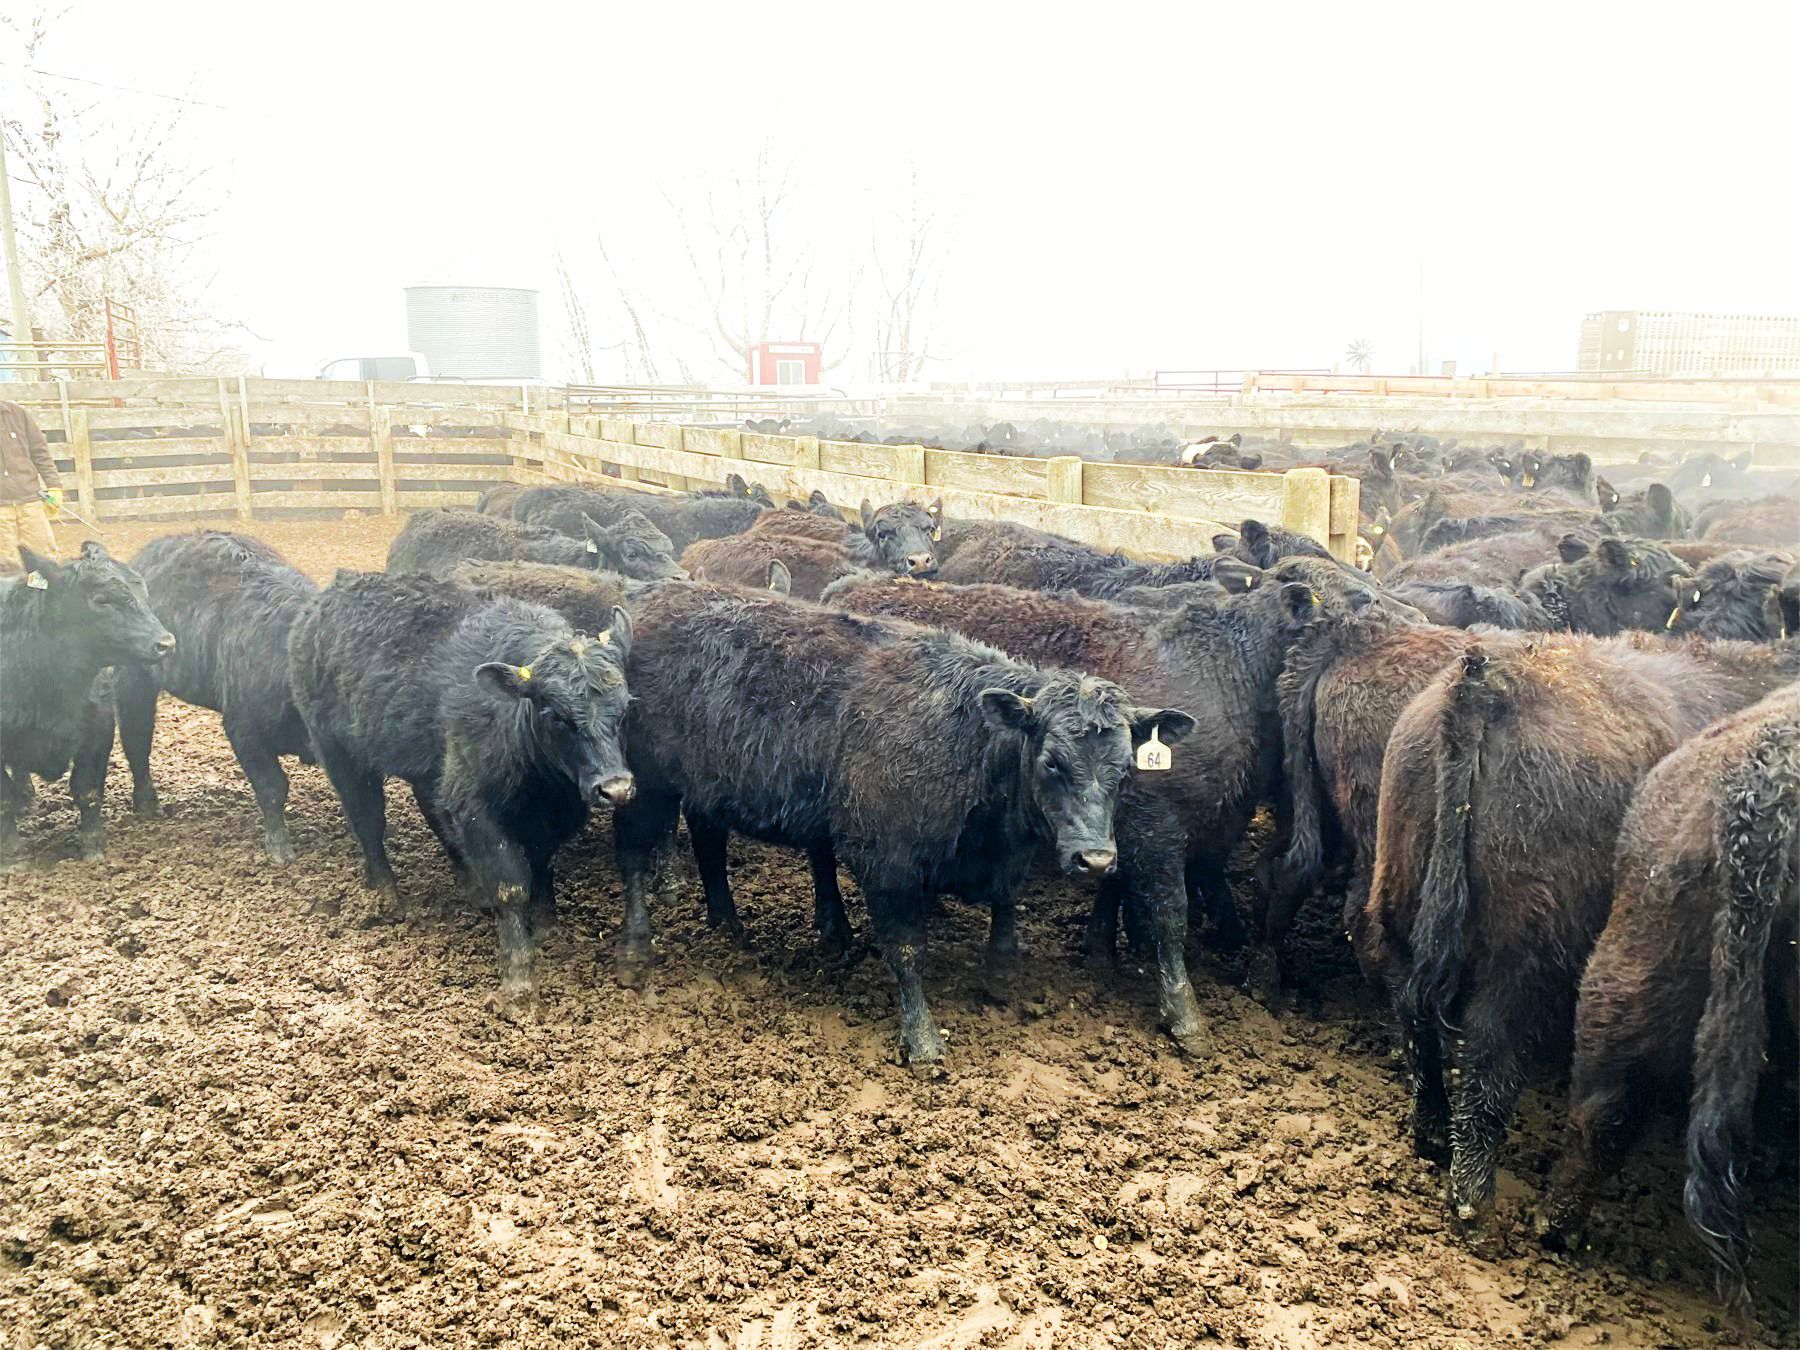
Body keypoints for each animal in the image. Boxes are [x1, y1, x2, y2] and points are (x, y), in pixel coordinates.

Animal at [0, 543, 174, 870]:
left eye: (143, 592)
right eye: (101, 599)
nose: (166, 643)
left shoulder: (98, 730)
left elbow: (88, 790)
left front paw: (94, 847)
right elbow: (3, 801)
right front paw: (12, 856)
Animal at [113, 531, 319, 863]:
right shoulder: (243, 729)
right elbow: (273, 787)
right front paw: (279, 848)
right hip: (133, 681)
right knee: (136, 739)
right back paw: (147, 804)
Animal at [288, 571, 635, 996]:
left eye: (626, 707)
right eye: (555, 714)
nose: (615, 787)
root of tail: (327, 598)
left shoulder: (550, 818)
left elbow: (543, 866)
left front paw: (548, 929)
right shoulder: (475, 808)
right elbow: (511, 885)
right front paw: (518, 977)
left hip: (430, 770)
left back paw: (469, 888)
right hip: (340, 755)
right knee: (367, 822)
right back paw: (387, 896)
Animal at [609, 581, 1192, 1072]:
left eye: (1127, 765)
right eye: (1051, 761)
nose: (1096, 859)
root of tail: (655, 597)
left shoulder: (1006, 859)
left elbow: (1006, 913)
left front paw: (1000, 979)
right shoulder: (888, 862)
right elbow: (907, 950)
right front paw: (923, 1040)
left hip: (703, 788)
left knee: (708, 841)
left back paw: (728, 923)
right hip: (644, 784)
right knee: (633, 857)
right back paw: (636, 953)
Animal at [1360, 631, 1800, 1220]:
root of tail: (1489, 681)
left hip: (1399, 912)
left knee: (1415, 1021)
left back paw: (1430, 1136)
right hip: (1533, 958)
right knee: (1499, 1057)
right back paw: (1477, 1199)